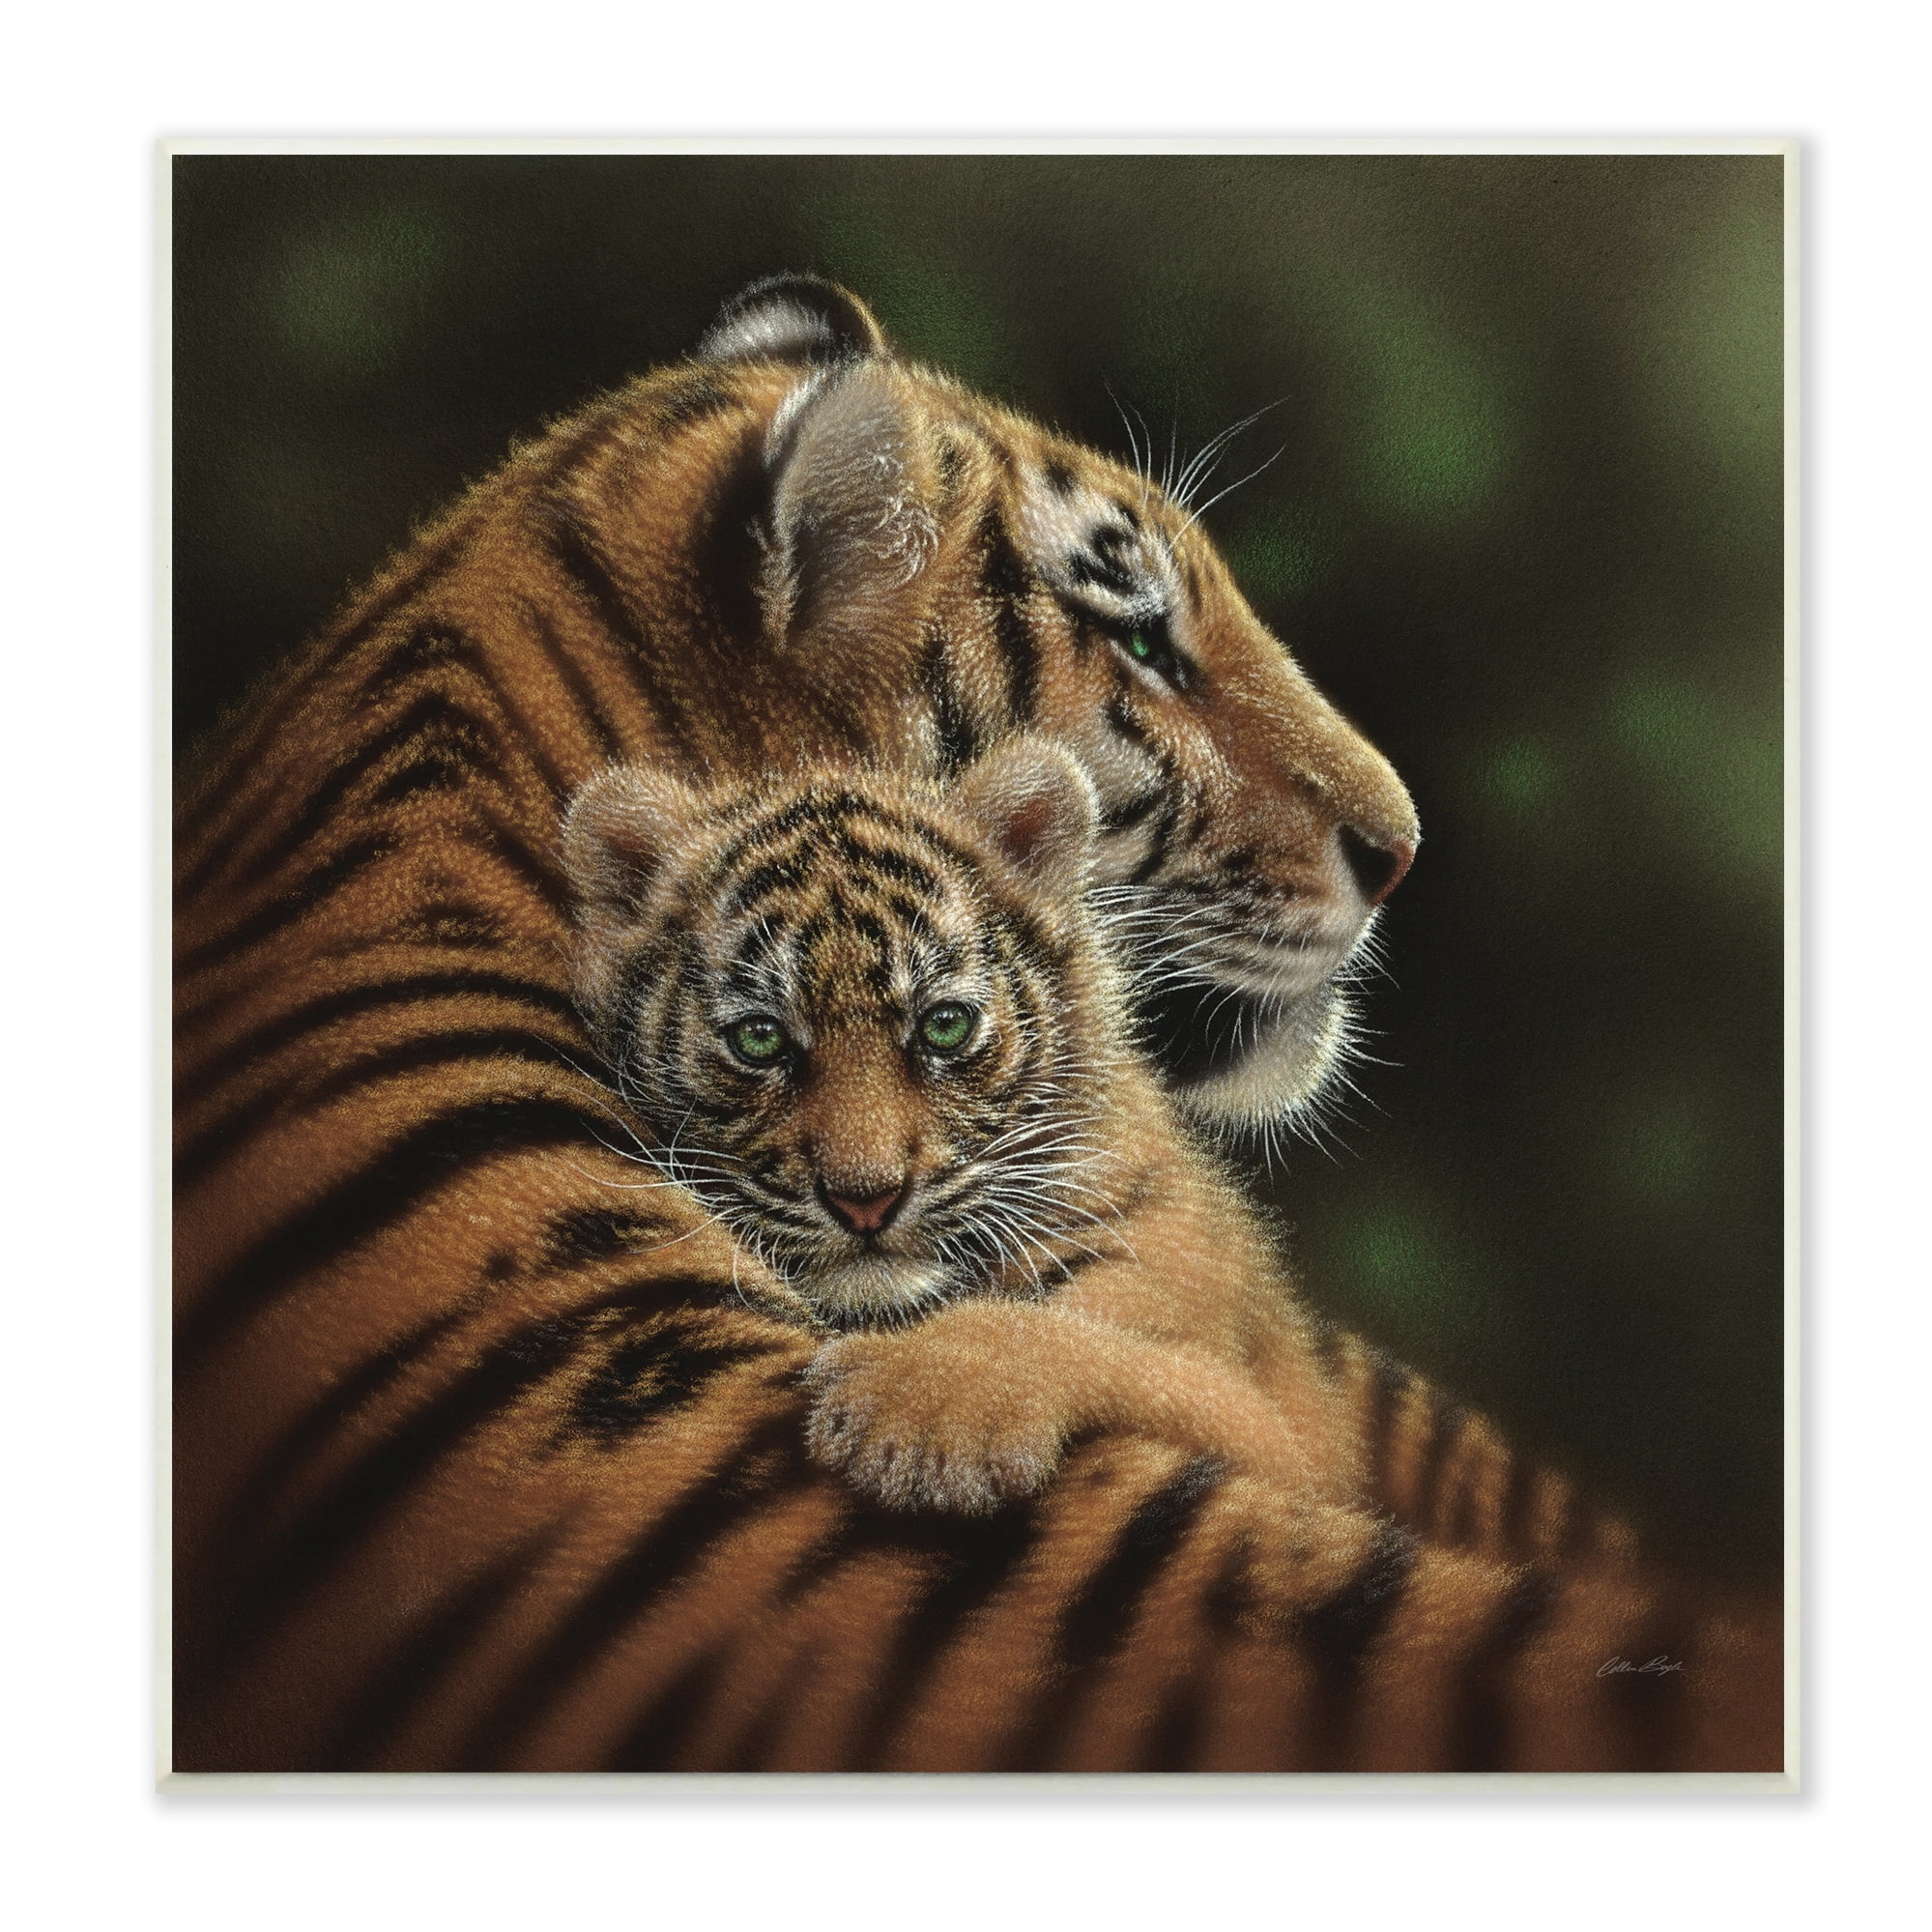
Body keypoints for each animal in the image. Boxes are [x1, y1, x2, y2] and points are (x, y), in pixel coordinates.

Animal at [562, 738, 1366, 1516]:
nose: (865, 1200)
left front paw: (920, 1412)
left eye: (943, 1025)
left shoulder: (1276, 1435)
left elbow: (1112, 1350)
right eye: (759, 1039)